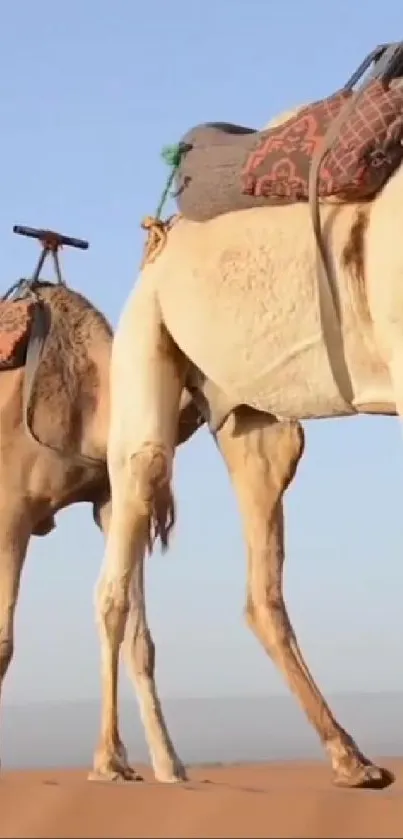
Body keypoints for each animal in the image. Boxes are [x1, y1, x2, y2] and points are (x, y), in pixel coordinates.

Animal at [95, 95, 403, 792]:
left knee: (261, 590)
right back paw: (110, 759)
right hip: (145, 337)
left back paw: (351, 758)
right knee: (120, 559)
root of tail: (160, 237)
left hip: (256, 424)